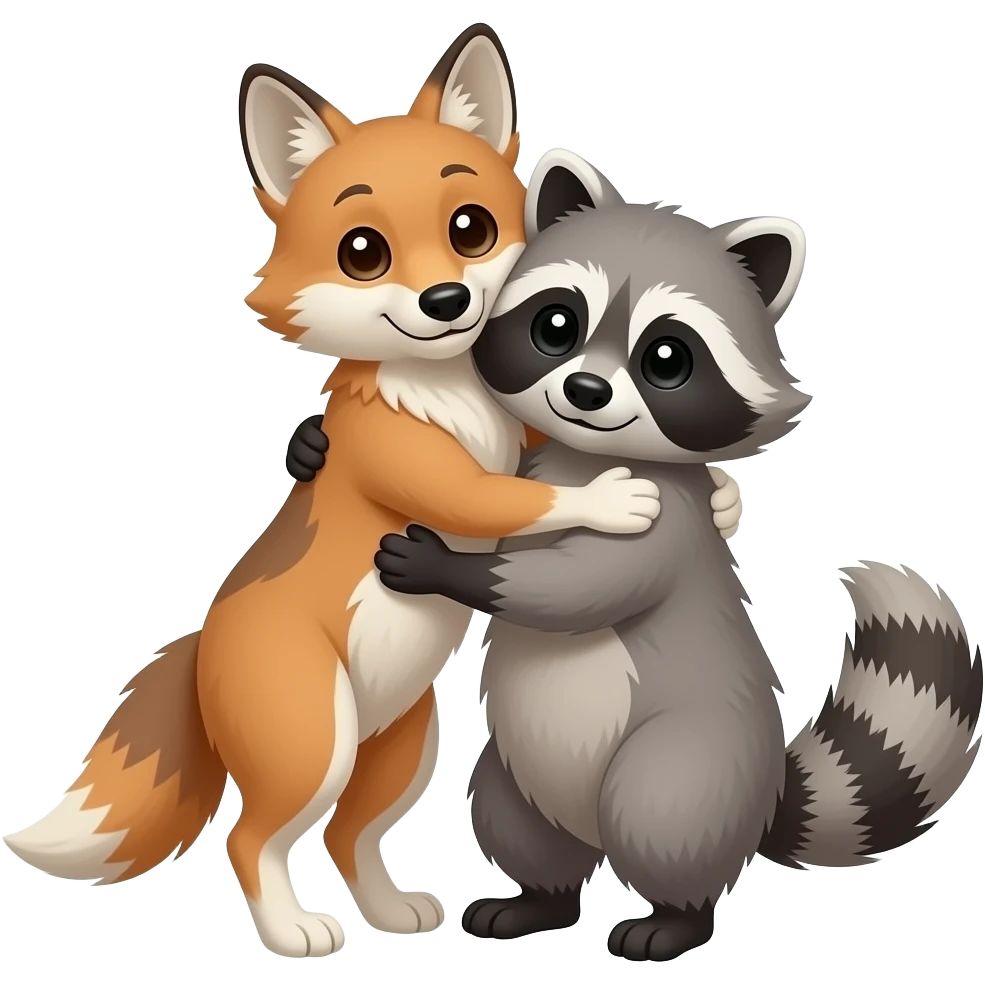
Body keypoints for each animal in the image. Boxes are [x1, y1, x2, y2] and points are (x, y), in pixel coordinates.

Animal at [290, 150, 983, 963]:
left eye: (667, 359)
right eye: (556, 325)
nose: (586, 389)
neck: (587, 454)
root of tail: (764, 795)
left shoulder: (667, 521)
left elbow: (575, 587)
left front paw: (451, 569)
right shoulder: (534, 463)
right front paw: (310, 447)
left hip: (696, 763)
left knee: (660, 812)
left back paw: (676, 918)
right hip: (517, 773)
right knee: (518, 822)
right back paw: (539, 901)